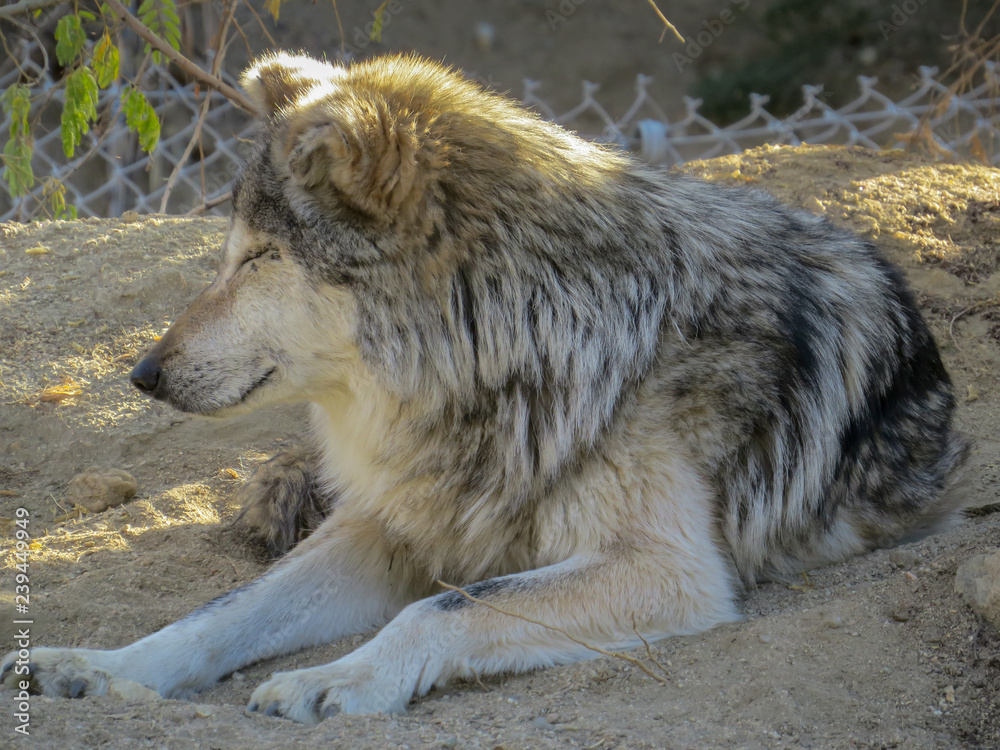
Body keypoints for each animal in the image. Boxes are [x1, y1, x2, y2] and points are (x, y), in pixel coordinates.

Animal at [2, 53, 968, 723]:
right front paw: (105, 668)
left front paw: (338, 677)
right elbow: (219, 613)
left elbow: (442, 609)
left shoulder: (666, 566)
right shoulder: (390, 527)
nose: (143, 373)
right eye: (232, 251)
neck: (520, 348)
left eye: (264, 256)